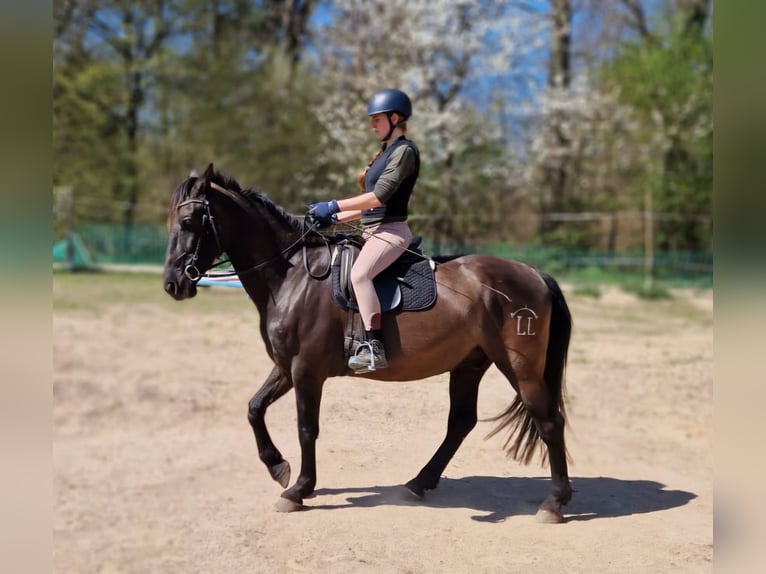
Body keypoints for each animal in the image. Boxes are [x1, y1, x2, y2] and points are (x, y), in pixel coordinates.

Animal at [163, 163, 574, 523]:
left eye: (189, 222)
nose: (173, 284)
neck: (292, 275)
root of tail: (534, 273)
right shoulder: (286, 367)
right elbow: (254, 408)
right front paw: (278, 467)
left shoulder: (306, 370)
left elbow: (306, 428)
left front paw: (299, 490)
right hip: (469, 364)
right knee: (460, 422)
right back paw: (418, 483)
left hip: (520, 367)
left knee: (549, 422)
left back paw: (554, 503)